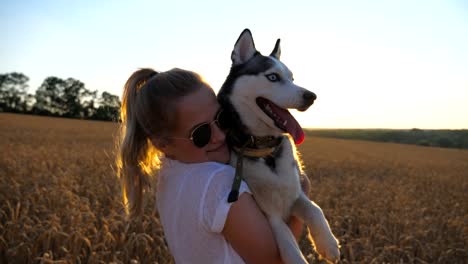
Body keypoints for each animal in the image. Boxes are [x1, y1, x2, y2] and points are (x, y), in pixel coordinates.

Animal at [216, 27, 340, 262]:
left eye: (292, 78)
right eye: (272, 77)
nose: (312, 96)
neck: (266, 152)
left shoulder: (296, 195)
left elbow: (315, 209)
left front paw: (328, 244)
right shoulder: (271, 217)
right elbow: (292, 251)